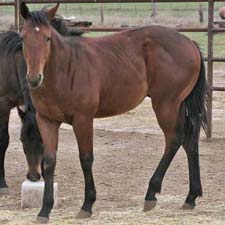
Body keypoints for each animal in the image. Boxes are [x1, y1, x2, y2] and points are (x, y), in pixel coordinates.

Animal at [20, 2, 207, 223]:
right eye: (23, 38)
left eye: (47, 38)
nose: (34, 78)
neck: (65, 69)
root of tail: (190, 42)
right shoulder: (46, 120)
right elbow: (49, 163)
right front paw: (44, 210)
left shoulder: (83, 120)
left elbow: (86, 159)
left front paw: (87, 204)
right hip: (178, 105)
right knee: (189, 143)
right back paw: (191, 197)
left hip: (165, 105)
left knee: (174, 140)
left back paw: (151, 194)